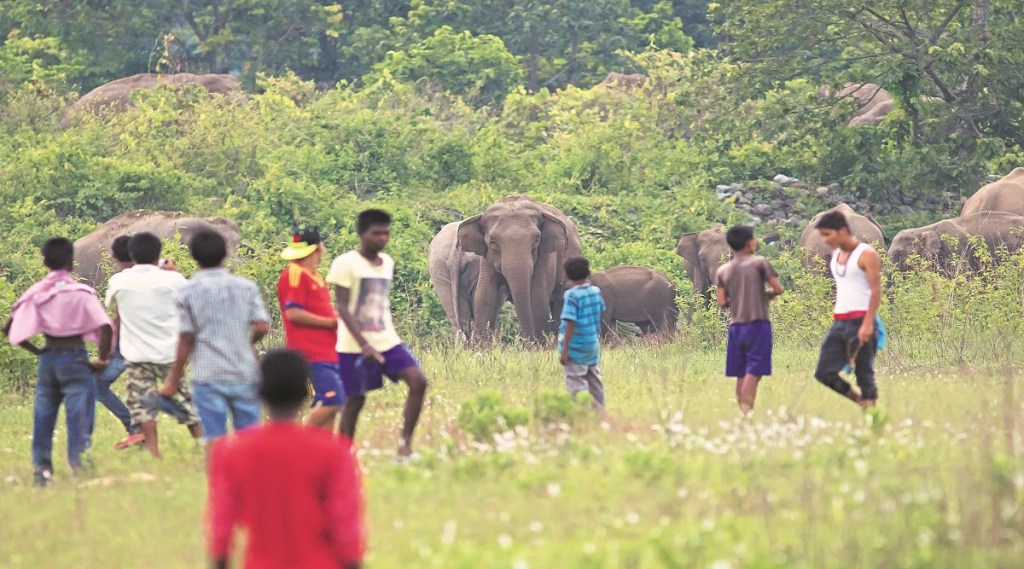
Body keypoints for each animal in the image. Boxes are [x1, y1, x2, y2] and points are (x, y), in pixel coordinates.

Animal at [457, 195, 582, 342]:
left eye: (537, 239)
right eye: (493, 242)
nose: (525, 339)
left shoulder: (546, 257)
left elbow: (537, 293)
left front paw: (538, 344)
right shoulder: (487, 259)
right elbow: (485, 294)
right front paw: (480, 345)